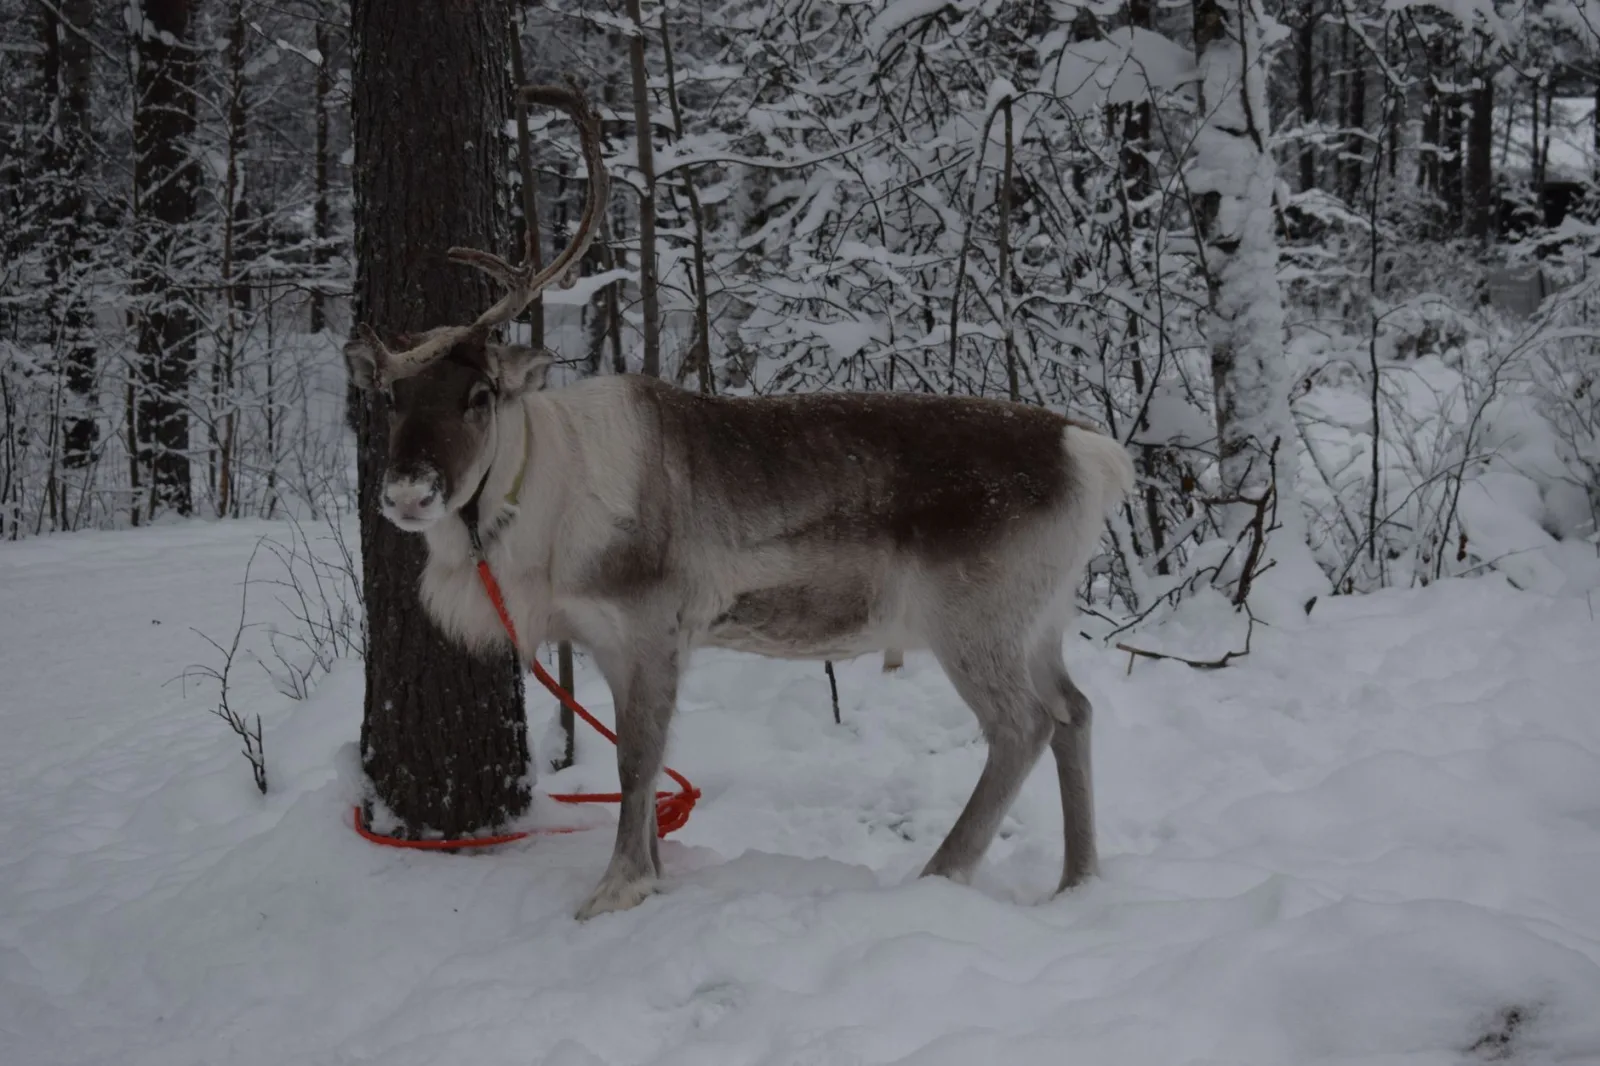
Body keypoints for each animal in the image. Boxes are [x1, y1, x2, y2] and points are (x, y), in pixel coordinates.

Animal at [345, 83, 1137, 922]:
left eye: (480, 395)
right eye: (390, 397)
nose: (407, 491)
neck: (541, 503)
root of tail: (1093, 453)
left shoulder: (651, 625)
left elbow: (636, 762)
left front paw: (618, 887)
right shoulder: (606, 638)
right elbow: (647, 760)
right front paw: (654, 872)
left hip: (975, 620)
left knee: (1024, 724)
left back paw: (942, 872)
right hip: (1040, 619)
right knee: (1076, 710)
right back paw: (1077, 880)